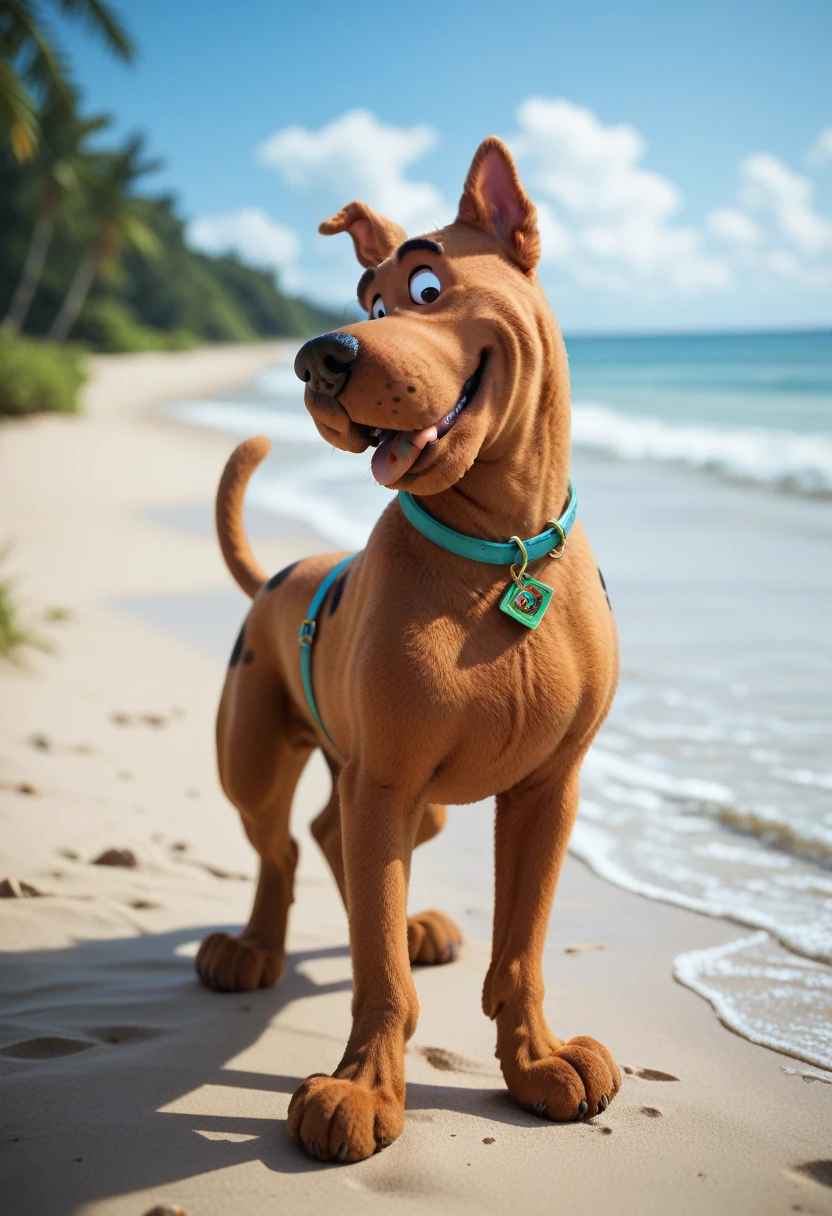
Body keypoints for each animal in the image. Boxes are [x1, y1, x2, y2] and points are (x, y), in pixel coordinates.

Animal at [198, 138, 620, 1162]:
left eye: (426, 287)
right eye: (369, 301)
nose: (320, 357)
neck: (498, 550)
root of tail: (278, 577)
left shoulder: (546, 792)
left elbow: (520, 948)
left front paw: (536, 1060)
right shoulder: (384, 781)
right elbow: (377, 971)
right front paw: (361, 1088)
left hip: (411, 802)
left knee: (330, 837)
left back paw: (413, 924)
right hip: (257, 762)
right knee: (282, 847)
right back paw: (253, 948)